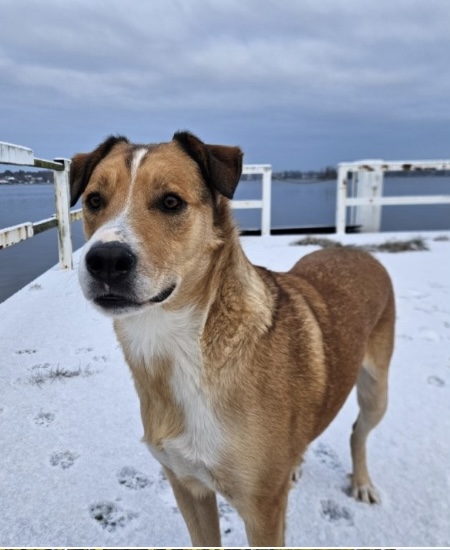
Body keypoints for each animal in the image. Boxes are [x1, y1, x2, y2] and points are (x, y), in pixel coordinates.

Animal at [70, 131, 395, 547]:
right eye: (94, 200)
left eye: (171, 202)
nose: (106, 260)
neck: (180, 348)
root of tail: (357, 250)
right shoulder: (187, 486)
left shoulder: (262, 510)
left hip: (376, 391)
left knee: (358, 432)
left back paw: (362, 482)